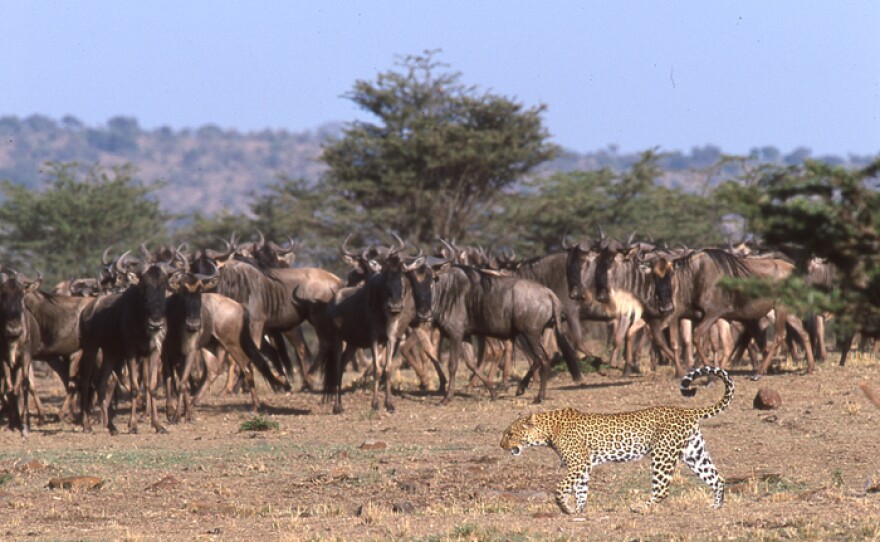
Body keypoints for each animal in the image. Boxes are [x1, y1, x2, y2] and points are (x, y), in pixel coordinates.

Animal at [498, 368, 732, 516]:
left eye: (510, 434)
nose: (501, 446)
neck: (548, 430)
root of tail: (687, 411)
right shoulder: (584, 466)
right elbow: (581, 491)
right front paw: (579, 511)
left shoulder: (577, 463)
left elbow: (560, 488)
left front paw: (565, 508)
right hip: (694, 453)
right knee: (717, 478)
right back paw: (716, 507)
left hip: (662, 454)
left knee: (662, 489)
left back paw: (640, 508)